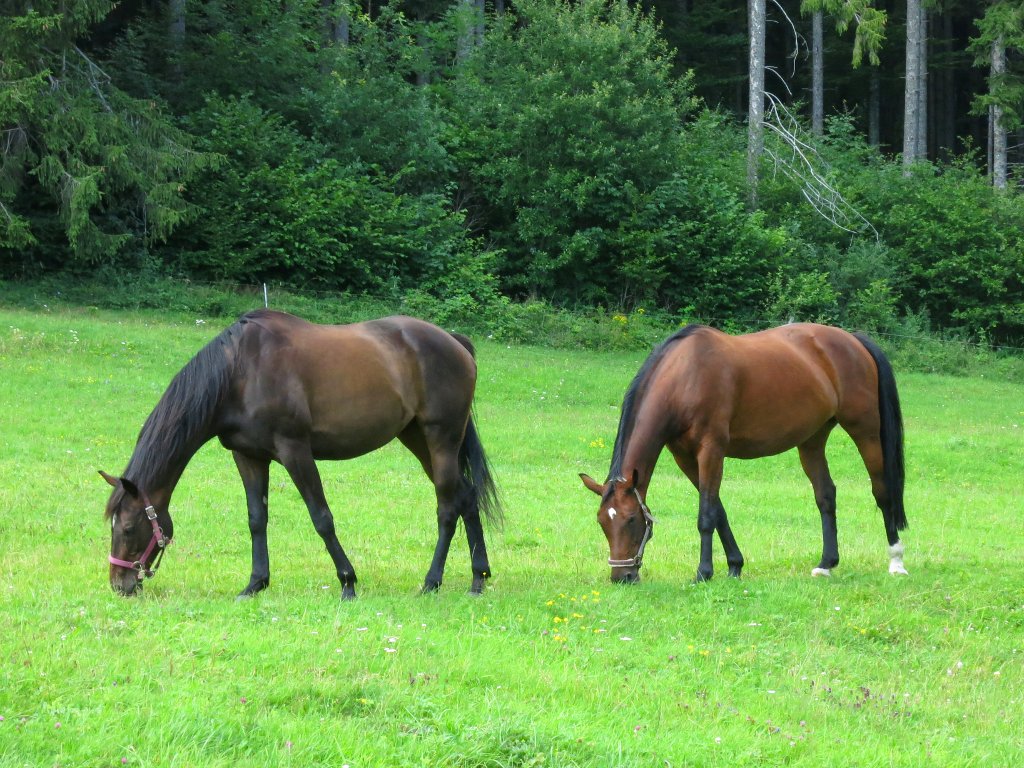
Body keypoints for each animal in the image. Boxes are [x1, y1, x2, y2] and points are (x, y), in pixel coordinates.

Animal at [102, 309, 501, 599]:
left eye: (127, 527)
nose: (120, 585)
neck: (240, 373)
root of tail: (455, 342)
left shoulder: (295, 450)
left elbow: (321, 517)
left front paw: (347, 581)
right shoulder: (248, 456)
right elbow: (256, 519)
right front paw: (255, 584)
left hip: (441, 439)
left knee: (448, 507)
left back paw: (432, 582)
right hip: (417, 439)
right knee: (466, 498)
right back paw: (477, 578)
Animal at [580, 322, 907, 584]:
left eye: (631, 520)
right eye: (602, 522)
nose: (622, 576)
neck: (685, 377)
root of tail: (853, 339)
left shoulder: (711, 451)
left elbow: (706, 514)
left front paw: (704, 572)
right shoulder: (685, 458)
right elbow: (718, 510)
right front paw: (735, 566)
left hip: (865, 431)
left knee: (882, 492)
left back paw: (896, 561)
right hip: (812, 440)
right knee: (826, 495)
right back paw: (826, 564)